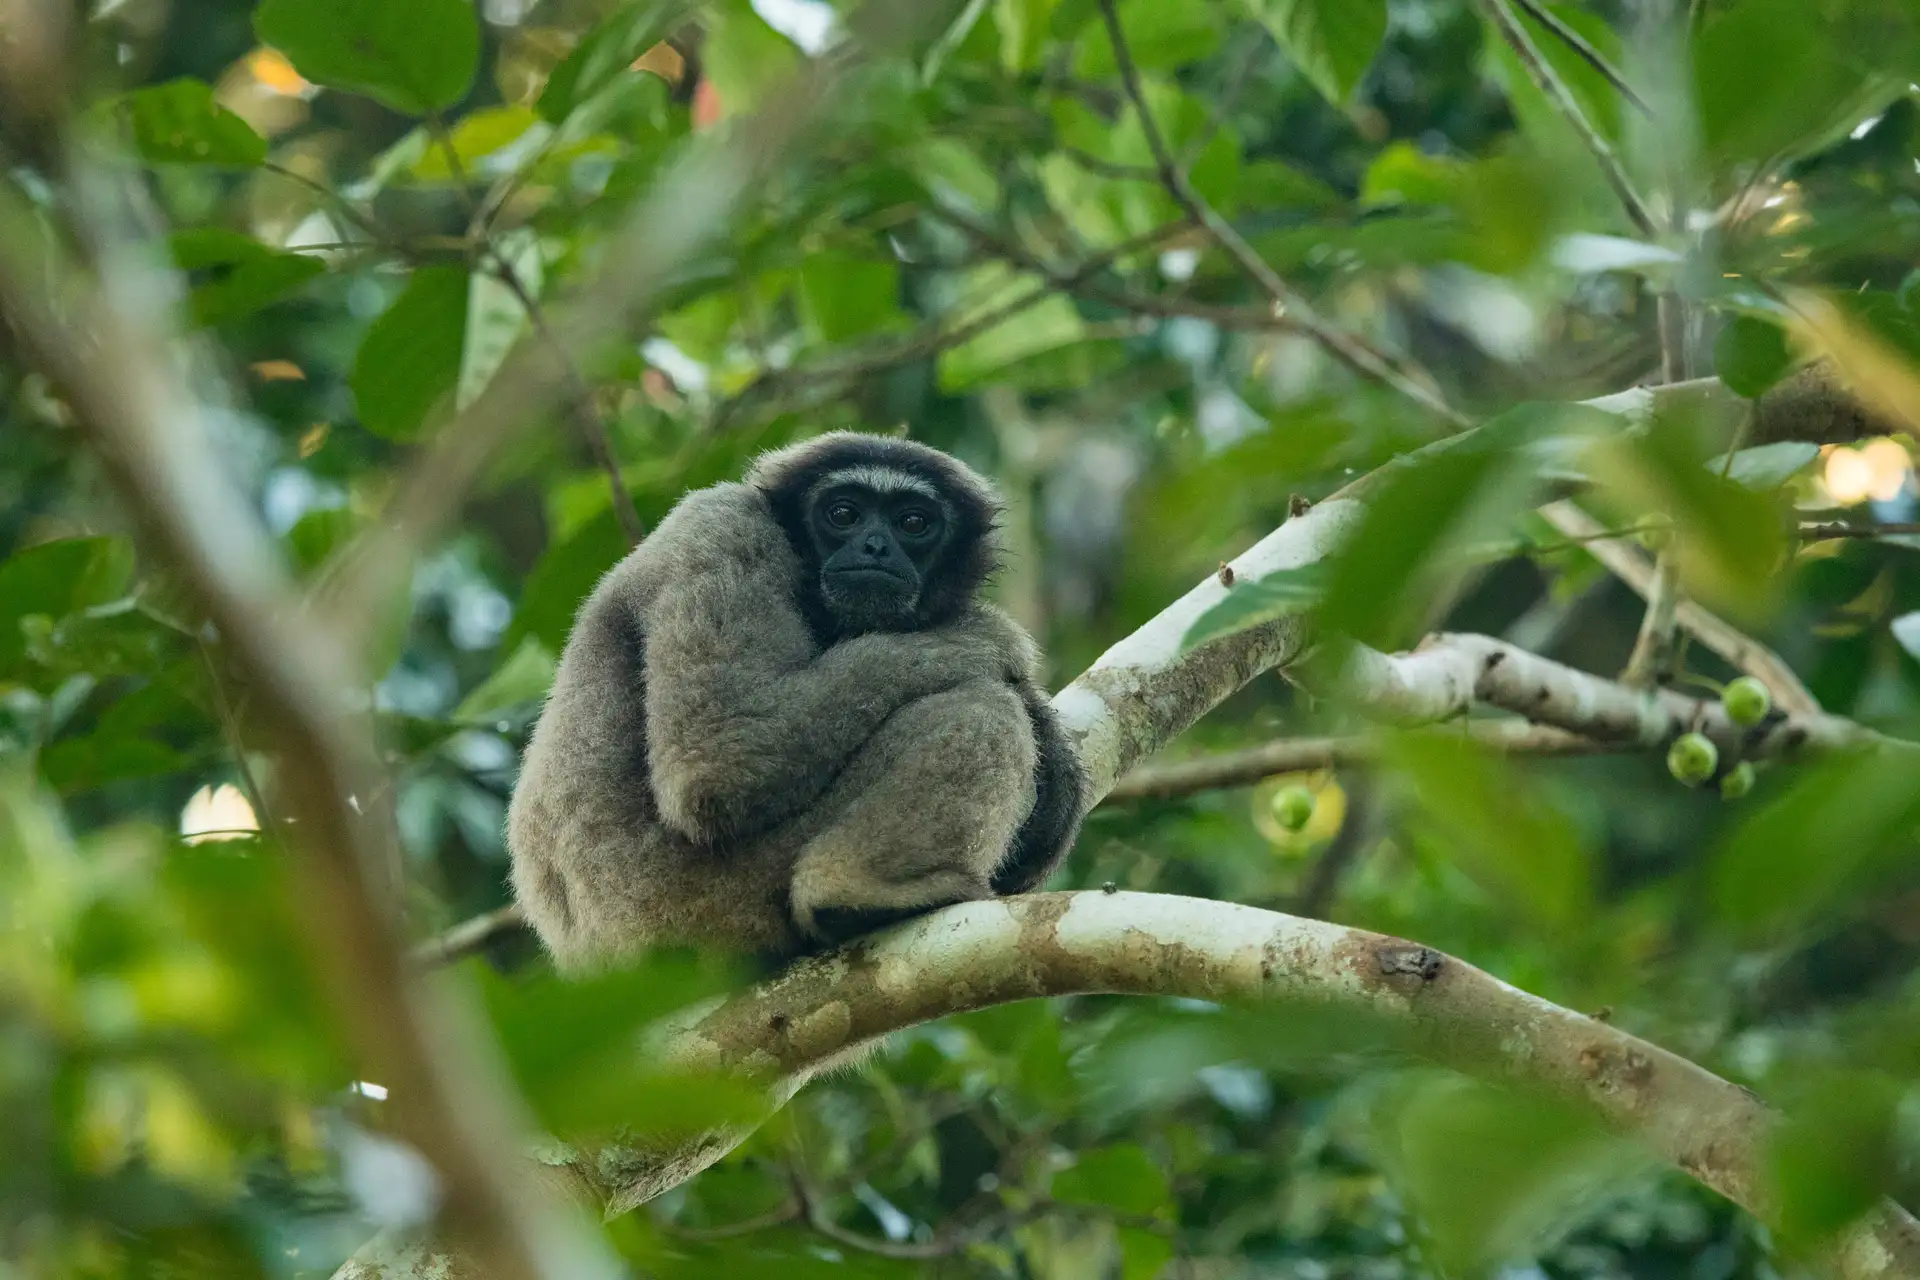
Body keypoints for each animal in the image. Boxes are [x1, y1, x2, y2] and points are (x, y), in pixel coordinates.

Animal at [505, 432, 1087, 974]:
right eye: (843, 514)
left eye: (914, 523)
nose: (875, 546)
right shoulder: (726, 526)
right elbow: (719, 756)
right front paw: (990, 641)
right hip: (694, 902)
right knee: (979, 707)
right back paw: (855, 892)